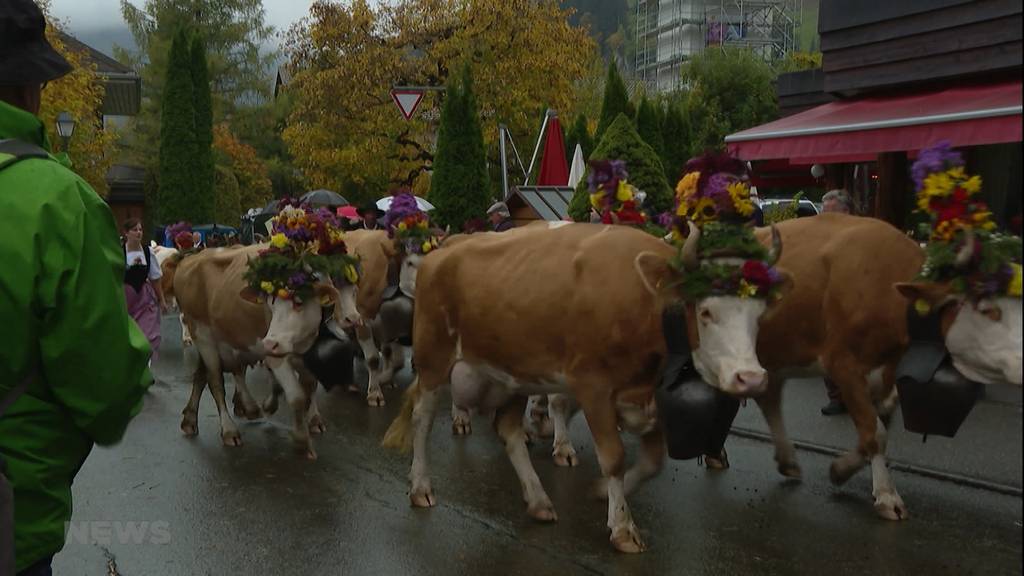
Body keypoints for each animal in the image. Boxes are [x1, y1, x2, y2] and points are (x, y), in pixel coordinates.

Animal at [176, 242, 364, 457]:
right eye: (270, 304)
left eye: (298, 302)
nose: (352, 318)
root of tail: (190, 260)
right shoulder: (275, 354)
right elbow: (297, 396)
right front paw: (301, 440)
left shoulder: (303, 354)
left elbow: (309, 387)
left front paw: (313, 419)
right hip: (202, 336)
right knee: (215, 381)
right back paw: (230, 429)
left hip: (225, 338)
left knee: (211, 373)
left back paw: (194, 418)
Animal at [380, 220, 786, 553]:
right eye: (705, 311)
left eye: (760, 312)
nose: (751, 378)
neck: (642, 304)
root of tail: (441, 253)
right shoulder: (594, 387)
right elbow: (615, 457)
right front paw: (622, 527)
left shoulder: (649, 398)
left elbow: (652, 463)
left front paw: (600, 492)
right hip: (434, 358)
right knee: (422, 419)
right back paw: (421, 487)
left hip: (511, 373)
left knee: (509, 431)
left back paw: (539, 501)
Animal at [749, 213, 1019, 518]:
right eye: (987, 310)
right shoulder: (843, 364)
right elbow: (874, 431)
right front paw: (887, 496)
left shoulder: (887, 372)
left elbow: (879, 426)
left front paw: (840, 469)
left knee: (768, 396)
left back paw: (787, 461)